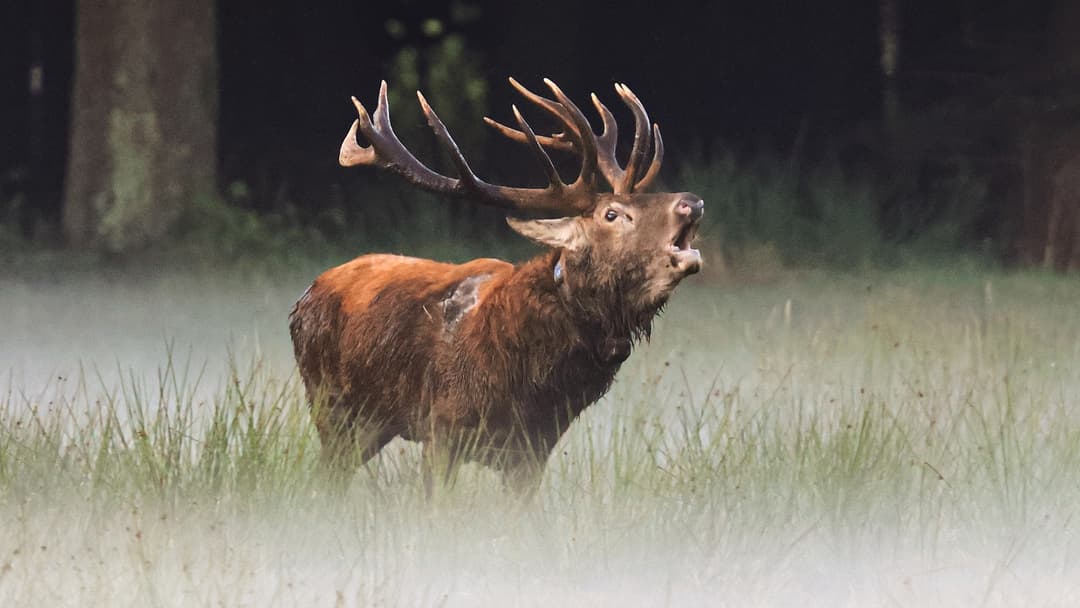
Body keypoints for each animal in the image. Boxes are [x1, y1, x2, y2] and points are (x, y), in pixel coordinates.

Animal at [289, 77, 704, 494]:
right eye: (612, 214)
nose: (691, 201)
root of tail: (305, 295)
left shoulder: (534, 449)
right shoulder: (441, 428)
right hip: (332, 406)